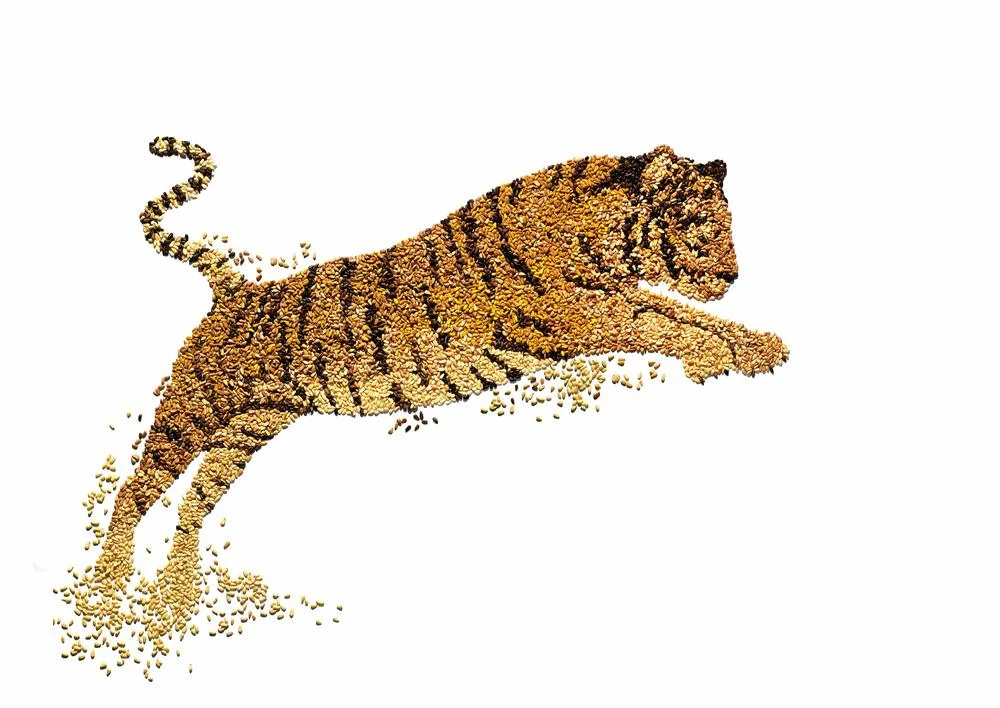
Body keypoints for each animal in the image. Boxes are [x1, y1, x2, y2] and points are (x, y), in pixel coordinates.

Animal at [95, 137, 788, 619]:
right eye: (705, 230)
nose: (733, 277)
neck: (606, 241)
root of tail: (233, 289)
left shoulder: (613, 296)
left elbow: (680, 313)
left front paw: (759, 347)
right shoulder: (580, 314)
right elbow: (663, 325)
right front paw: (714, 355)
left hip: (247, 433)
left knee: (193, 502)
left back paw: (177, 594)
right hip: (192, 415)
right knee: (134, 492)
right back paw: (105, 591)